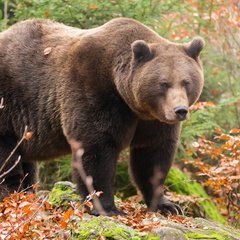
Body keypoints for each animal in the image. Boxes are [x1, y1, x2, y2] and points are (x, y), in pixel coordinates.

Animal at [0, 17, 204, 216]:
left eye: (186, 82)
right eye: (164, 83)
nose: (180, 110)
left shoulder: (153, 121)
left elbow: (153, 156)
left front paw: (167, 205)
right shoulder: (93, 90)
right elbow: (96, 147)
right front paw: (107, 207)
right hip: (10, 105)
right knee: (7, 157)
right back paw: (12, 194)